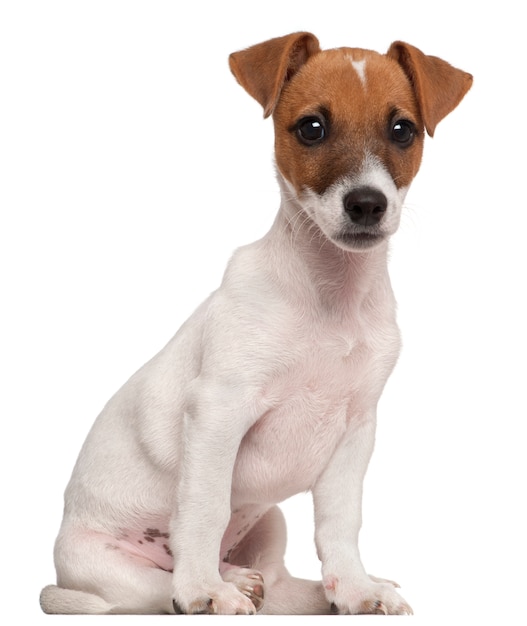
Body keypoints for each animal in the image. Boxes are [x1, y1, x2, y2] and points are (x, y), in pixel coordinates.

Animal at [39, 31, 472, 612]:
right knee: (152, 590)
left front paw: (356, 589)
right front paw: (202, 591)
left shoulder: (356, 430)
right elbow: (204, 509)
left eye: (402, 129)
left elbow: (340, 525)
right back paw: (220, 583)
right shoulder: (219, 410)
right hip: (111, 573)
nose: (367, 204)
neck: (329, 296)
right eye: (312, 127)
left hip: (272, 525)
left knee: (280, 585)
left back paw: (278, 584)